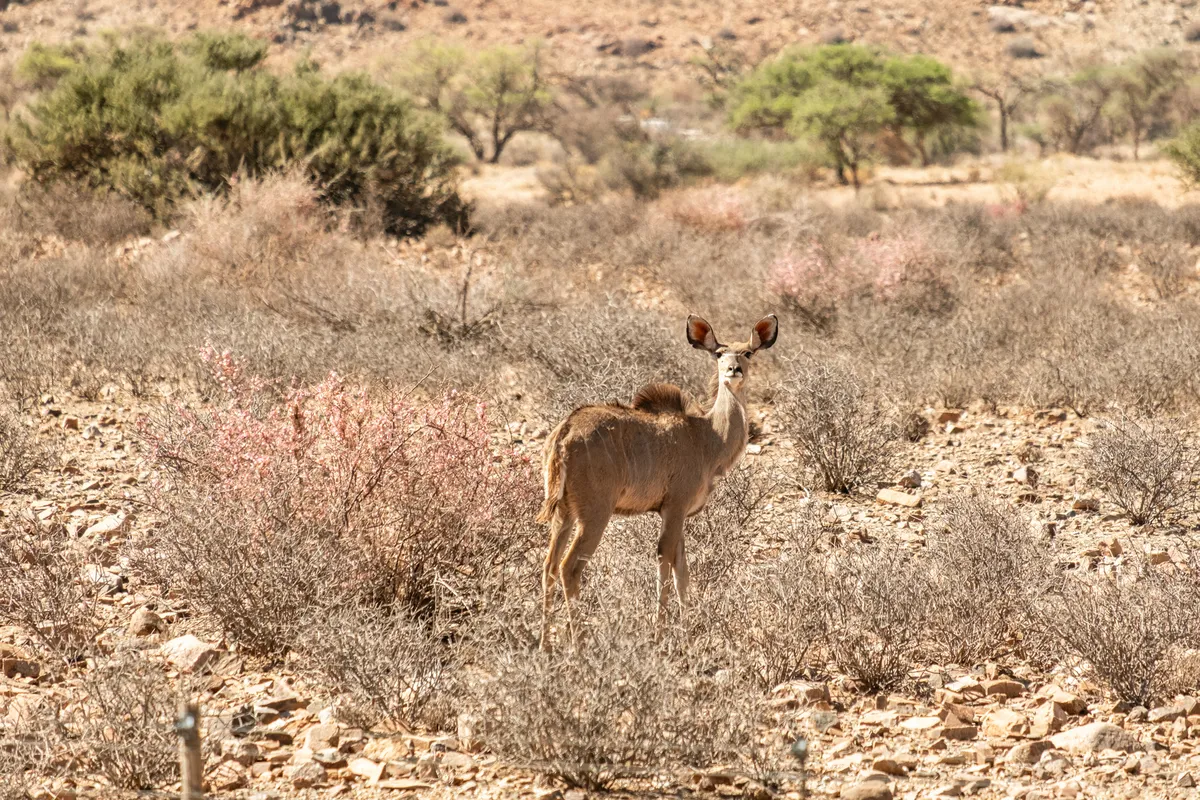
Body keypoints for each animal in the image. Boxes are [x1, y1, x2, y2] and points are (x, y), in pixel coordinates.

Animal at [535, 311, 777, 652]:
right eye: (718, 353)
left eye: (748, 352)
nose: (734, 370)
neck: (706, 436)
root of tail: (564, 433)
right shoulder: (674, 508)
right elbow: (665, 561)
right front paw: (660, 636)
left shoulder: (675, 514)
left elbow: (682, 570)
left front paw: (688, 636)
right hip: (594, 514)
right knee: (569, 567)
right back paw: (581, 645)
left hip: (564, 515)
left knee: (548, 566)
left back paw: (545, 645)